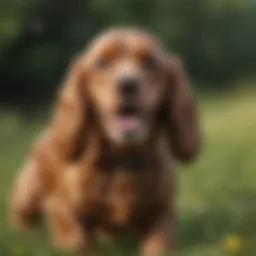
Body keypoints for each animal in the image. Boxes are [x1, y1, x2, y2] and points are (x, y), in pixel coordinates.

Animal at [10, 27, 200, 255]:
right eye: (101, 63)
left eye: (149, 62)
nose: (127, 85)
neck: (122, 159)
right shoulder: (60, 209)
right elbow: (79, 242)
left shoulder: (164, 211)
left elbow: (158, 243)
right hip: (27, 195)